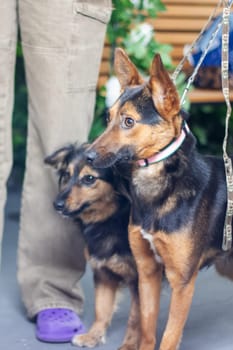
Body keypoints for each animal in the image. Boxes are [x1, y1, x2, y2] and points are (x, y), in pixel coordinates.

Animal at [45, 143, 140, 350]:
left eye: (89, 178)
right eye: (66, 174)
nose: (57, 204)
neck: (113, 218)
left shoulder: (142, 277)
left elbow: (136, 317)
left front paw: (130, 344)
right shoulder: (103, 272)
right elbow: (101, 309)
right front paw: (93, 336)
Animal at [85, 48, 233, 350]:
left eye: (129, 121)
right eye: (108, 118)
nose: (87, 157)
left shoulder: (182, 282)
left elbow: (168, 337)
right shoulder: (147, 272)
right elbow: (147, 328)